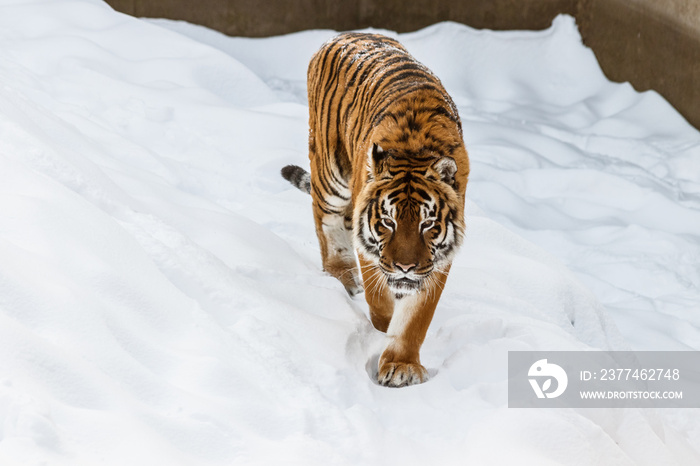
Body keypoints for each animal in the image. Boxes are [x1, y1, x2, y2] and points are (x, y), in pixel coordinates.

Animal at [280, 31, 470, 386]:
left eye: (427, 225)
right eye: (387, 222)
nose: (405, 268)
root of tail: (345, 35)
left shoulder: (436, 260)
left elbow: (415, 319)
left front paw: (401, 366)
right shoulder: (370, 243)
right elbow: (378, 297)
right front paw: (383, 324)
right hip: (329, 174)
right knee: (326, 223)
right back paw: (343, 277)